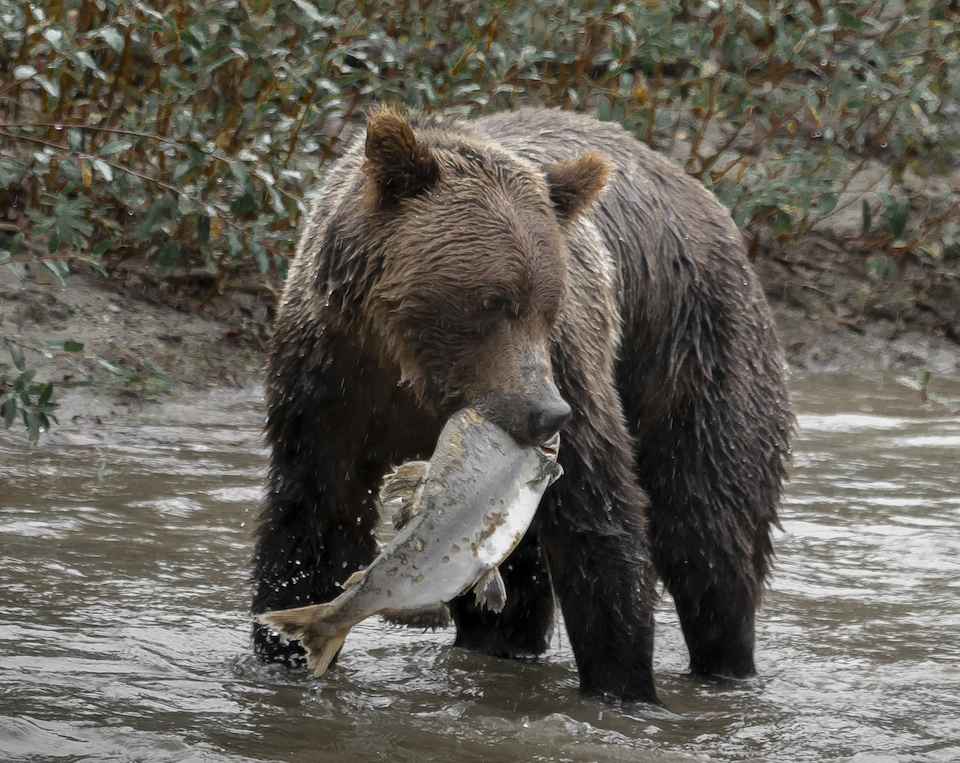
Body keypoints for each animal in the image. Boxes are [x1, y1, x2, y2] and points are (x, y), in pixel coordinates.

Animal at [251, 106, 792, 704]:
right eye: (492, 301)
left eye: (548, 305)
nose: (547, 414)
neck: (412, 368)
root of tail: (703, 195)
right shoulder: (330, 380)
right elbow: (316, 517)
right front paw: (280, 655)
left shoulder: (573, 369)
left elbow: (598, 520)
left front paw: (622, 689)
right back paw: (500, 644)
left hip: (696, 347)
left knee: (708, 528)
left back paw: (727, 665)